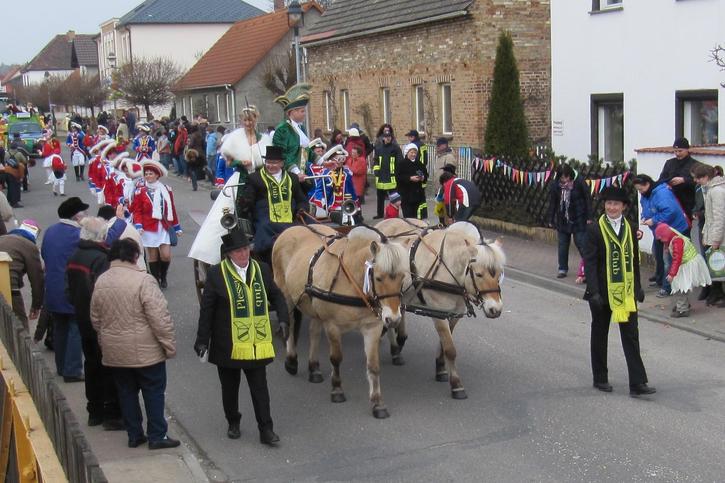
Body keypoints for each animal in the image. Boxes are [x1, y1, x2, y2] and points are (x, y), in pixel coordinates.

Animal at [272, 225, 410, 418]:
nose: (393, 319)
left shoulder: (372, 328)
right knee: (291, 326)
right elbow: (336, 358)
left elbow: (373, 365)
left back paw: (314, 368)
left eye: (402, 277)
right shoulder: (332, 326)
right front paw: (337, 389)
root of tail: (291, 228)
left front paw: (377, 403)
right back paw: (291, 361)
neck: (353, 281)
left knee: (314, 331)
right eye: (378, 278)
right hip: (286, 297)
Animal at [374, 220, 504, 400]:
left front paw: (441, 368)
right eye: (478, 274)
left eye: (499, 273)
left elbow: (444, 345)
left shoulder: (454, 314)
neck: (449, 267)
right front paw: (456, 385)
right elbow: (450, 348)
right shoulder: (439, 314)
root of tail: (383, 222)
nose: (495, 309)